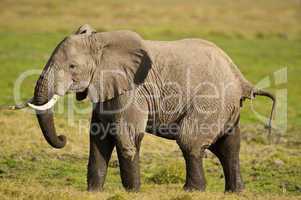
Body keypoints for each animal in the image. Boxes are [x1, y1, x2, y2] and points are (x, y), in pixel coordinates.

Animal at [11, 24, 274, 191]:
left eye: (72, 67)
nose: (63, 138)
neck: (101, 41)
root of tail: (240, 78)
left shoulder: (133, 91)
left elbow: (126, 136)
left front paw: (132, 191)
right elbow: (98, 137)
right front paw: (94, 191)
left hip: (209, 101)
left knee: (190, 142)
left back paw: (192, 191)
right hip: (225, 106)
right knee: (230, 146)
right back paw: (235, 191)